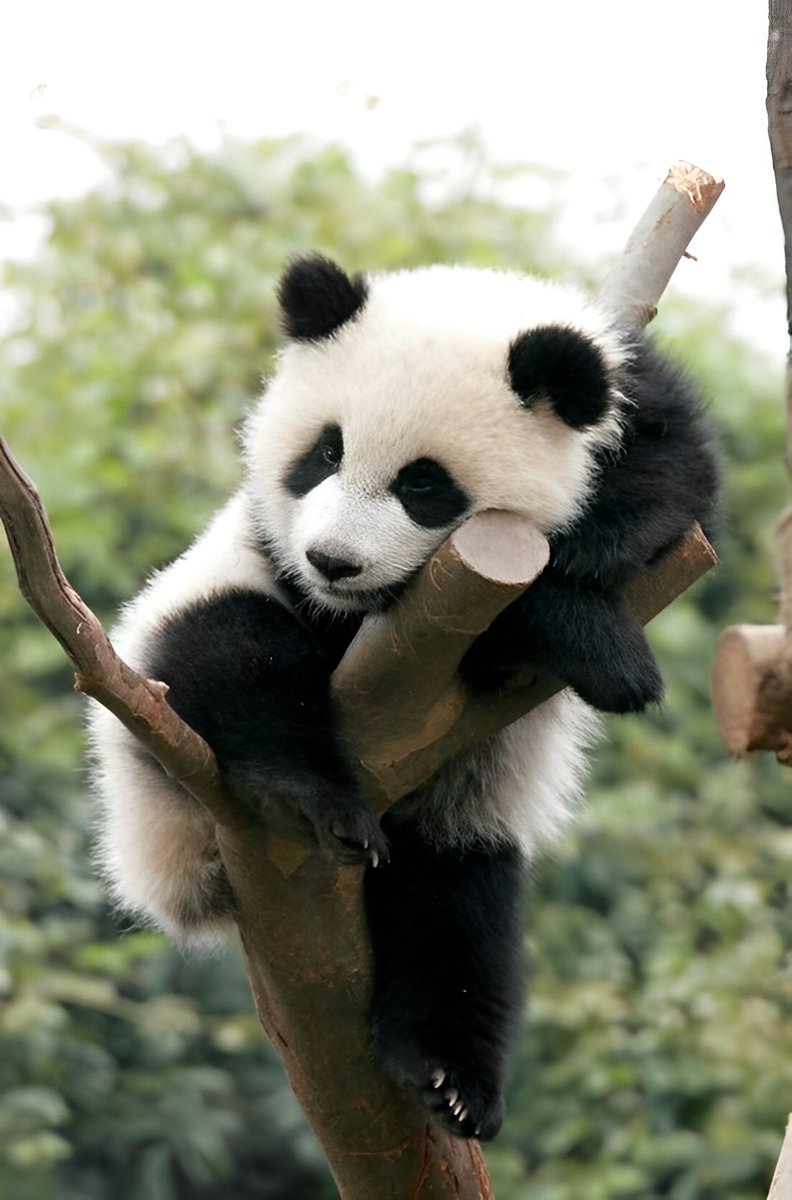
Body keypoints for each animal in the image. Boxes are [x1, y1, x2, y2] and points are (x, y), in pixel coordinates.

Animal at [89, 253, 719, 1141]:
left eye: (425, 485)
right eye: (324, 452)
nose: (333, 560)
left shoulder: (643, 410)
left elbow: (671, 491)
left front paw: (591, 594)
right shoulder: (282, 565)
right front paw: (597, 643)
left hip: (458, 814)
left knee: (457, 911)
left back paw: (448, 1073)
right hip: (159, 724)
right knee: (229, 650)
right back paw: (313, 798)